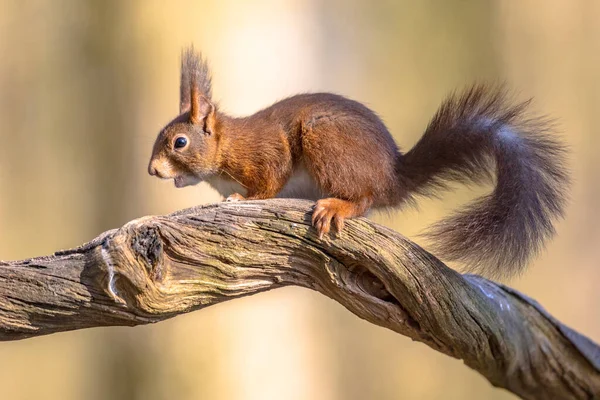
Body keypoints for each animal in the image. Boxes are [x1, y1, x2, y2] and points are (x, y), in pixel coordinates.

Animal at [148, 47, 568, 278]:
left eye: (179, 142)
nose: (152, 170)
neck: (227, 146)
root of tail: (392, 176)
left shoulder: (266, 154)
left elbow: (270, 180)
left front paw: (243, 199)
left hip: (325, 141)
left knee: (364, 199)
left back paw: (338, 206)